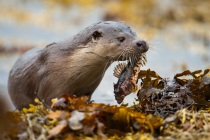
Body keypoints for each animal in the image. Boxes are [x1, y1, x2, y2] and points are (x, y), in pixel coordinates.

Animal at [7, 21, 149, 109]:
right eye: (121, 39)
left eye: (135, 34)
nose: (142, 42)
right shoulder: (50, 86)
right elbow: (49, 101)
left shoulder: (89, 88)